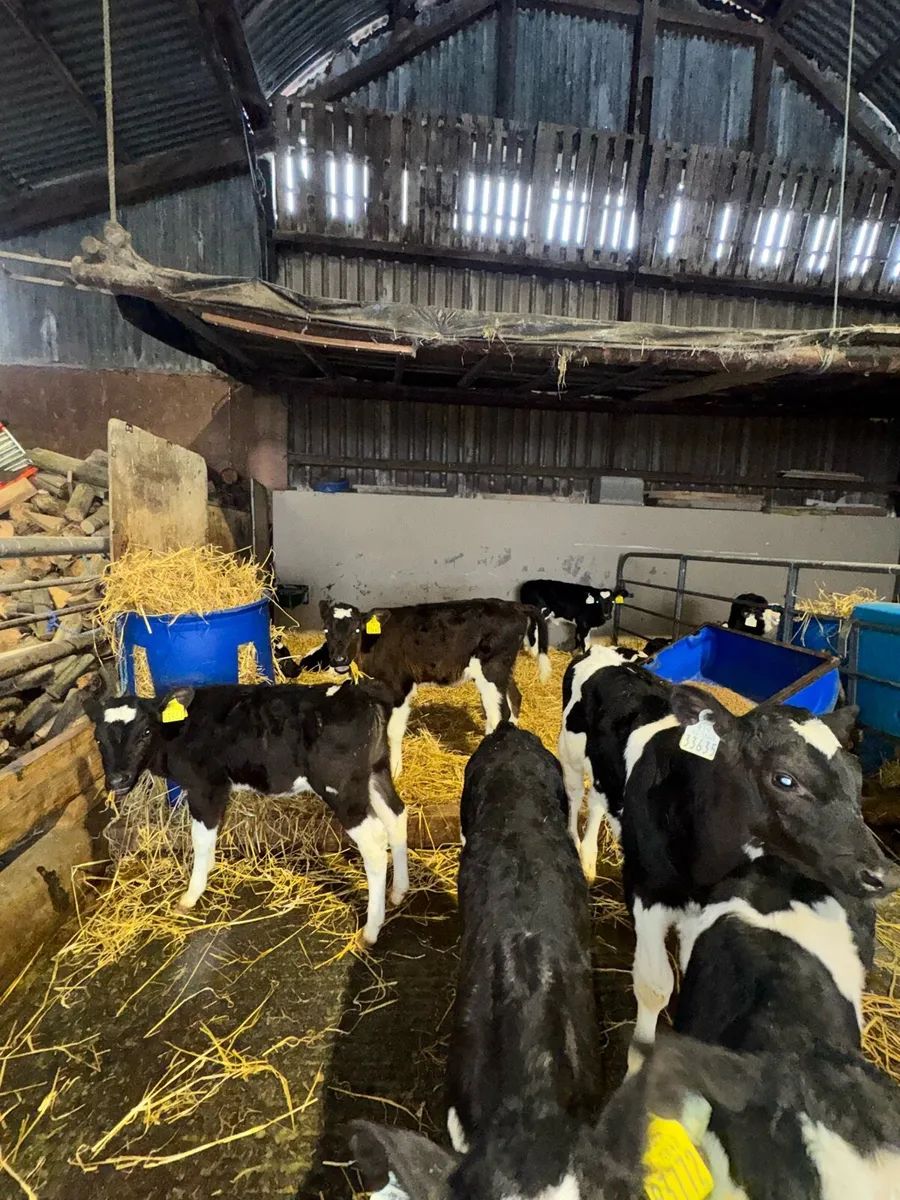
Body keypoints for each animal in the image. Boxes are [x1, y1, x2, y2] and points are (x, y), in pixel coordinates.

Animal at [84, 681, 408, 945]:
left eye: (145, 732)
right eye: (98, 739)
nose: (117, 780)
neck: (181, 730)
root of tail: (361, 694)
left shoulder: (206, 787)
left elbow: (201, 839)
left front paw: (191, 895)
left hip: (340, 789)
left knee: (375, 844)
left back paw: (370, 930)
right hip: (376, 772)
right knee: (397, 817)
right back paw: (399, 891)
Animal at [283, 599, 550, 777]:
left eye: (356, 629)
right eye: (326, 630)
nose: (338, 660)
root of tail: (513, 605)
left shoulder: (401, 688)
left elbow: (393, 732)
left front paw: (395, 770)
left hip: (491, 668)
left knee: (498, 713)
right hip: (502, 669)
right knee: (514, 698)